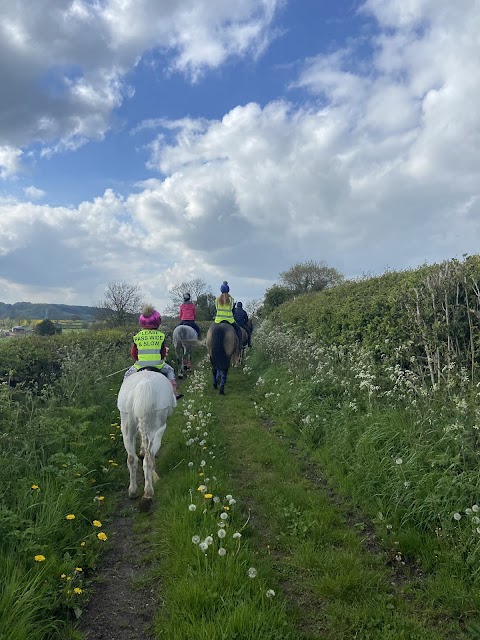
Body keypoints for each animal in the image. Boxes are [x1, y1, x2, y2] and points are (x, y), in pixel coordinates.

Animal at [117, 370, 177, 510]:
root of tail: (143, 385)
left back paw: (133, 491)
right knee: (148, 459)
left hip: (127, 425)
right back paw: (148, 494)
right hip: (158, 428)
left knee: (131, 458)